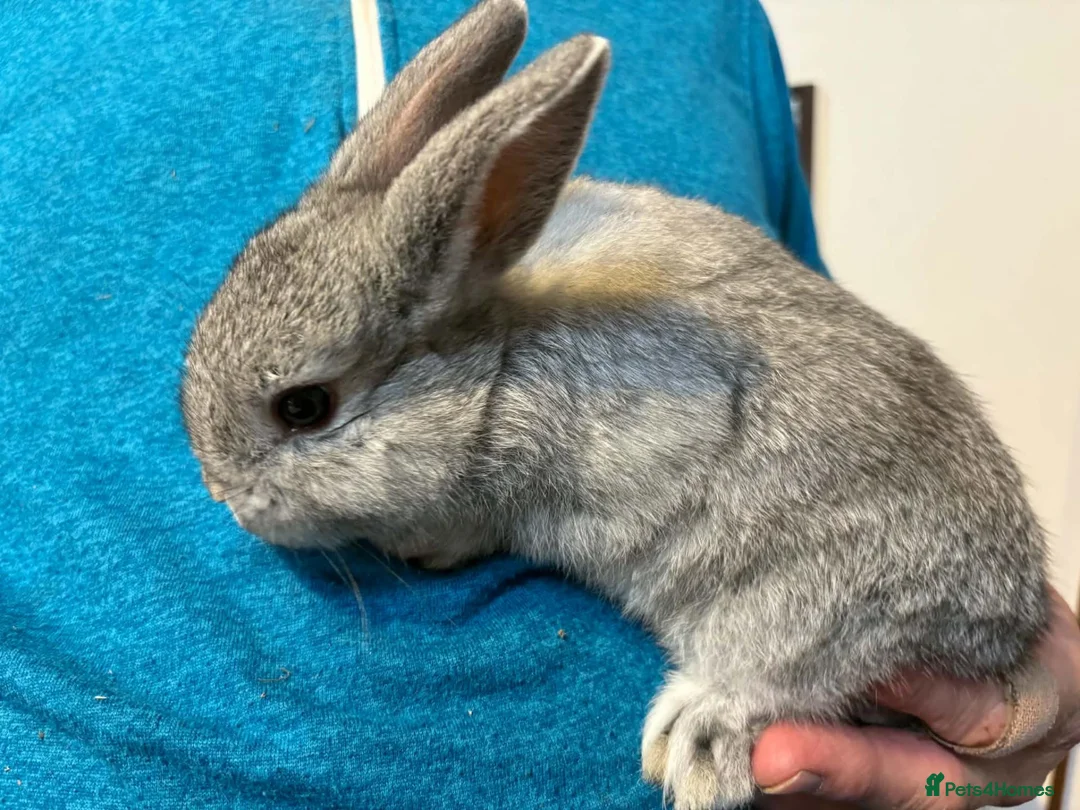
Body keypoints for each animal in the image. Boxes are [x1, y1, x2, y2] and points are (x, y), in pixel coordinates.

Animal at [180, 0, 1050, 807]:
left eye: (305, 407)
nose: (224, 496)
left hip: (824, 588)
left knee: (786, 662)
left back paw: (694, 742)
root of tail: (1014, 613)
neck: (495, 362)